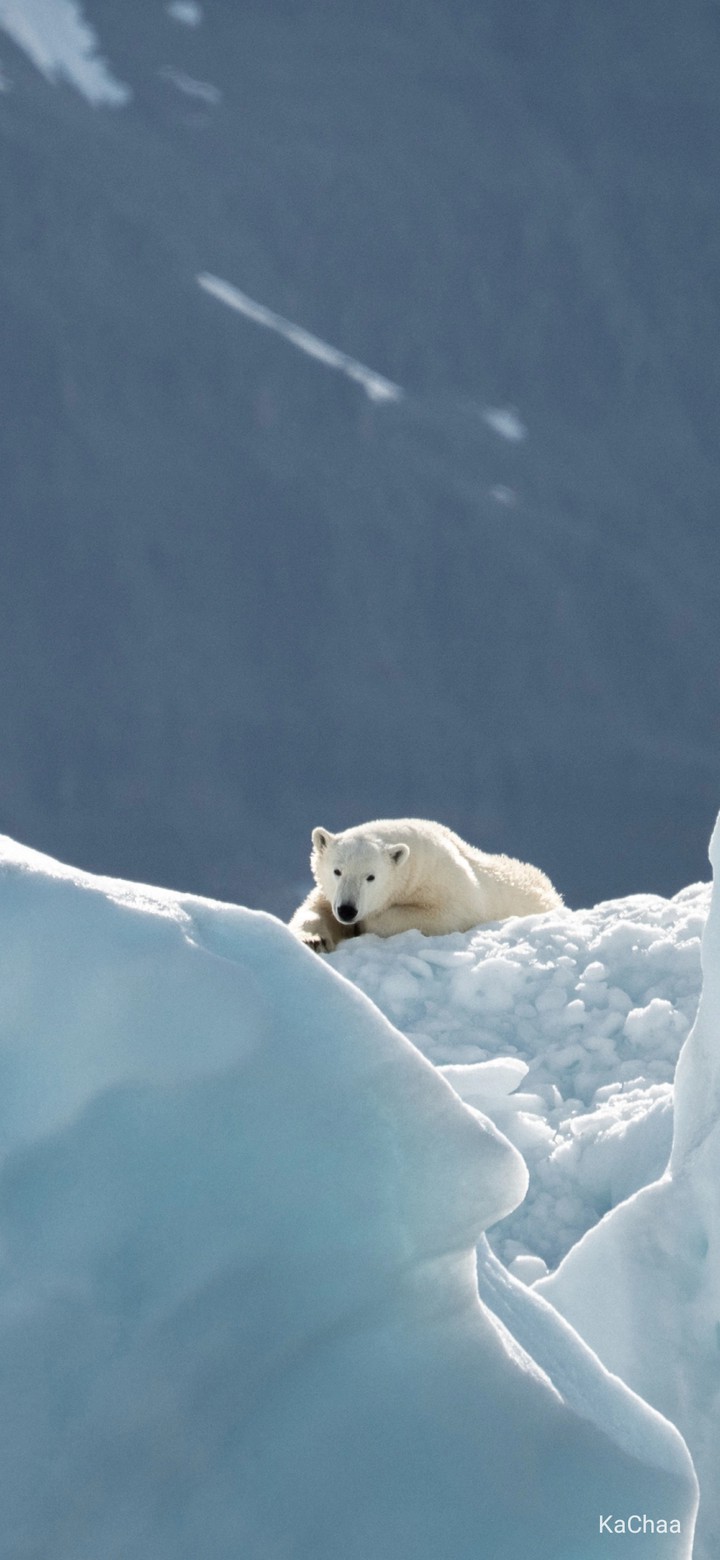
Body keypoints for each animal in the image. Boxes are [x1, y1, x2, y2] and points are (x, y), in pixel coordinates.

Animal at [289, 817, 562, 953]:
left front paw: (365, 924)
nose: (347, 910)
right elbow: (315, 909)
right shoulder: (330, 893)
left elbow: (444, 915)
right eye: (337, 871)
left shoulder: (446, 883)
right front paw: (313, 940)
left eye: (371, 877)